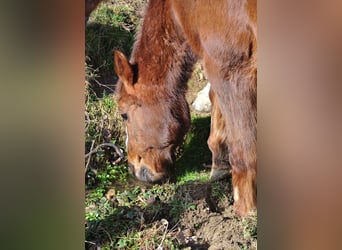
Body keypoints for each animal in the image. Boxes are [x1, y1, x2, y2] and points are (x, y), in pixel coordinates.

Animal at [115, 0, 256, 215]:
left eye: (124, 115)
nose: (133, 169)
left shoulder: (229, 69)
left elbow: (242, 142)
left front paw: (245, 208)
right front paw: (220, 163)